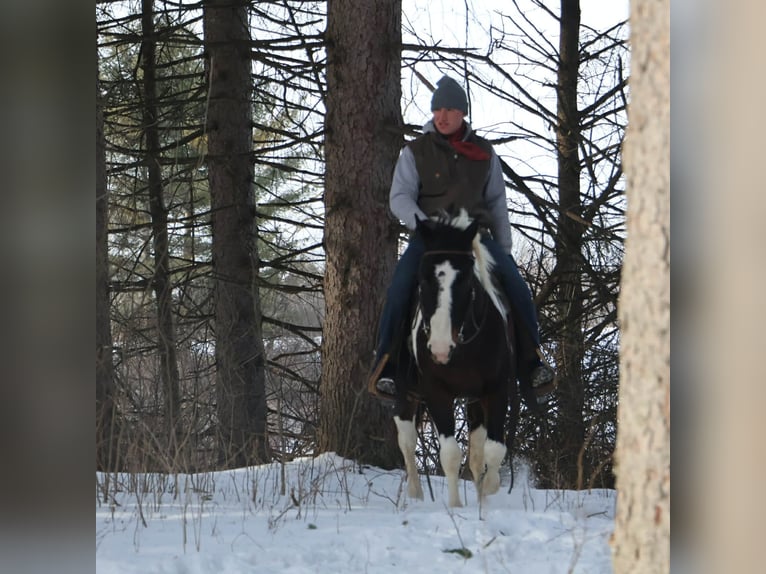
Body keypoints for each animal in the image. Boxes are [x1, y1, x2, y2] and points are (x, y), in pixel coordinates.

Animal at [391, 210, 520, 507]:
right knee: (406, 437)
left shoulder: (496, 390)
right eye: (423, 279)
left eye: (465, 280)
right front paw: (455, 506)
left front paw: (488, 496)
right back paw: (415, 495)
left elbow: (493, 450)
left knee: (477, 452)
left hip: (474, 402)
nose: (439, 348)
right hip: (406, 391)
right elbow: (450, 453)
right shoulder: (436, 392)